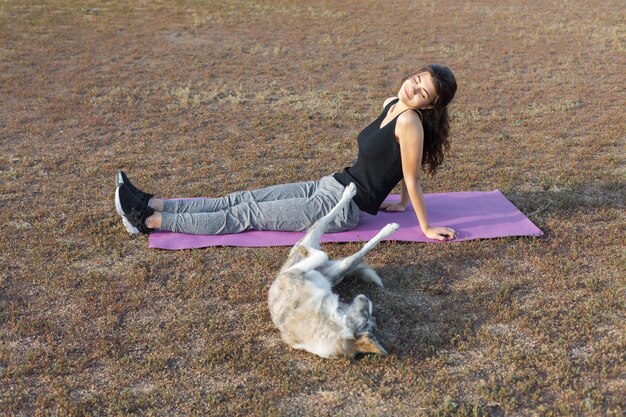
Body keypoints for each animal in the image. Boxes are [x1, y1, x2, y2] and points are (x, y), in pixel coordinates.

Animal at [266, 182, 394, 358]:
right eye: (366, 315)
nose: (368, 299)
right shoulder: (292, 273)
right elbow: (322, 254)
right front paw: (306, 251)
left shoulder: (293, 273)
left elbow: (323, 254)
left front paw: (306, 251)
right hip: (317, 243)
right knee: (327, 220)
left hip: (337, 265)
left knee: (355, 247)